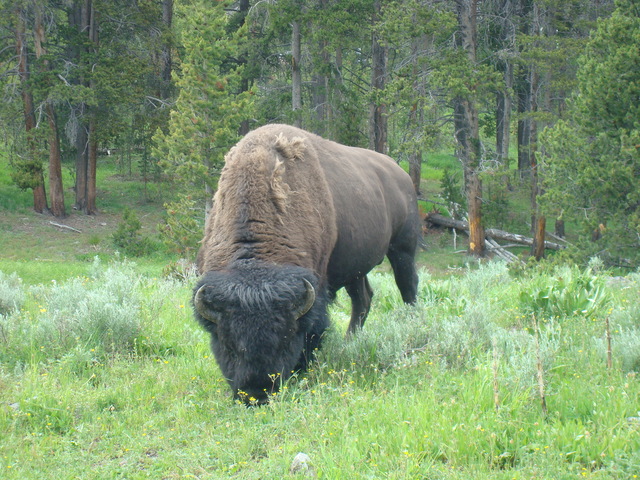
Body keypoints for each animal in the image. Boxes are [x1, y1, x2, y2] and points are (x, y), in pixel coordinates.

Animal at [193, 124, 419, 403]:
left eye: (286, 338)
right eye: (228, 343)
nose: (257, 393)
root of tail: (402, 174)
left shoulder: (317, 286)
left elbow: (316, 326)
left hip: (403, 249)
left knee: (408, 288)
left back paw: (411, 326)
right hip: (355, 268)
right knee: (363, 299)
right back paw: (350, 342)